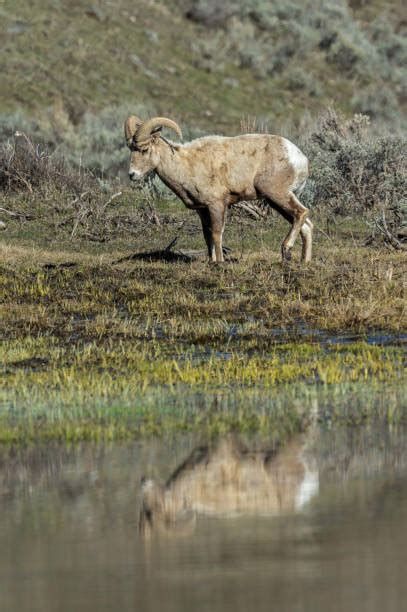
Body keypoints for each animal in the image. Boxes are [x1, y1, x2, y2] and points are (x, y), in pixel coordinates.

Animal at [123, 116, 312, 262]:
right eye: (131, 149)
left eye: (144, 149)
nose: (132, 174)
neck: (186, 165)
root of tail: (299, 158)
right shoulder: (202, 210)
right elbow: (207, 236)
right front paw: (211, 261)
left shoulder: (217, 205)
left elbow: (216, 233)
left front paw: (220, 262)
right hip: (276, 201)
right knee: (306, 226)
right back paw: (304, 262)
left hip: (277, 194)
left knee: (301, 213)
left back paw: (286, 250)